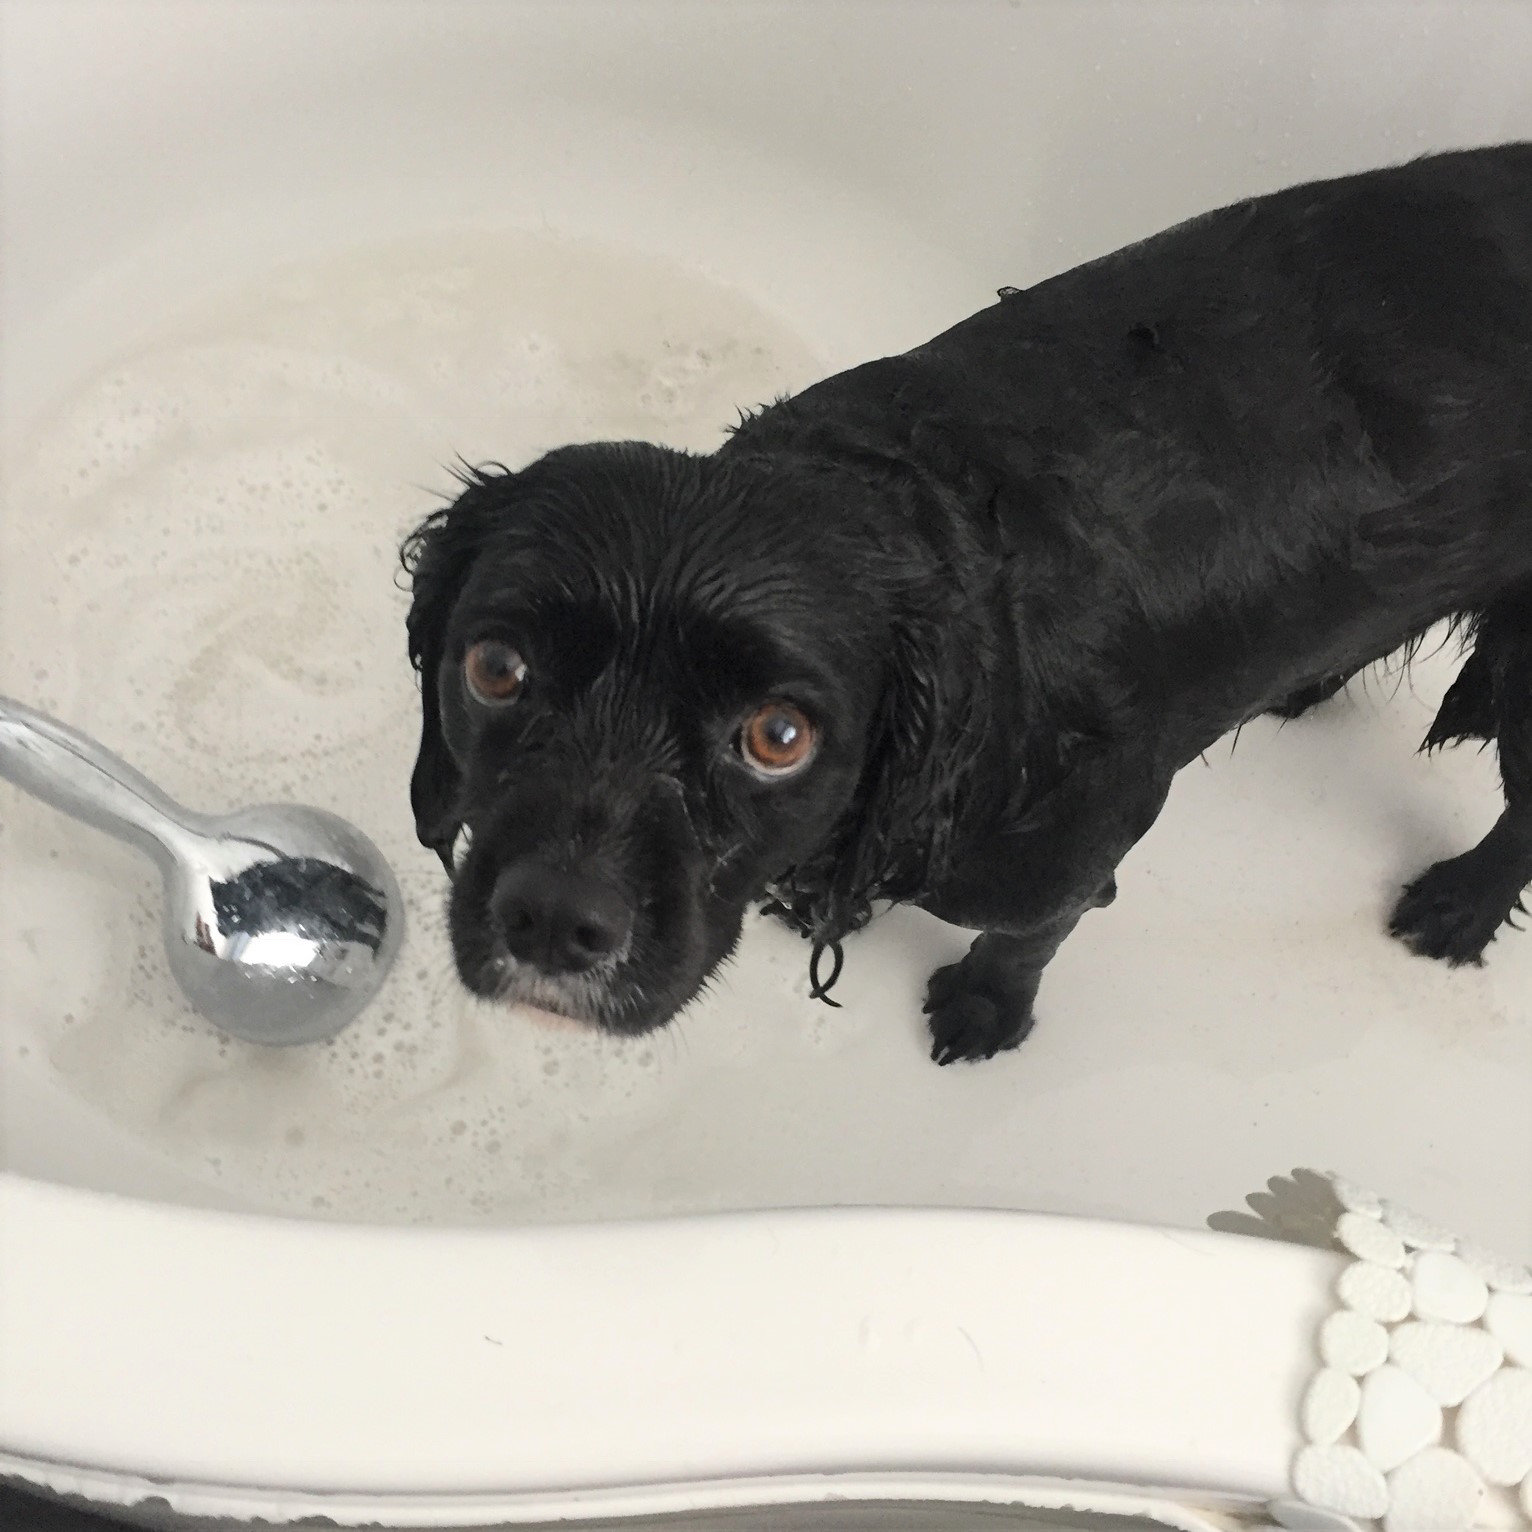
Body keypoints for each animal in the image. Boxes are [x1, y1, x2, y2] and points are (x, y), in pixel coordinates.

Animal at [404, 146, 1532, 1066]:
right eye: (496, 669)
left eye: (777, 735)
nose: (555, 921)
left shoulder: (1082, 849)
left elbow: (1030, 935)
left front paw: (986, 1006)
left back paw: (1458, 905)